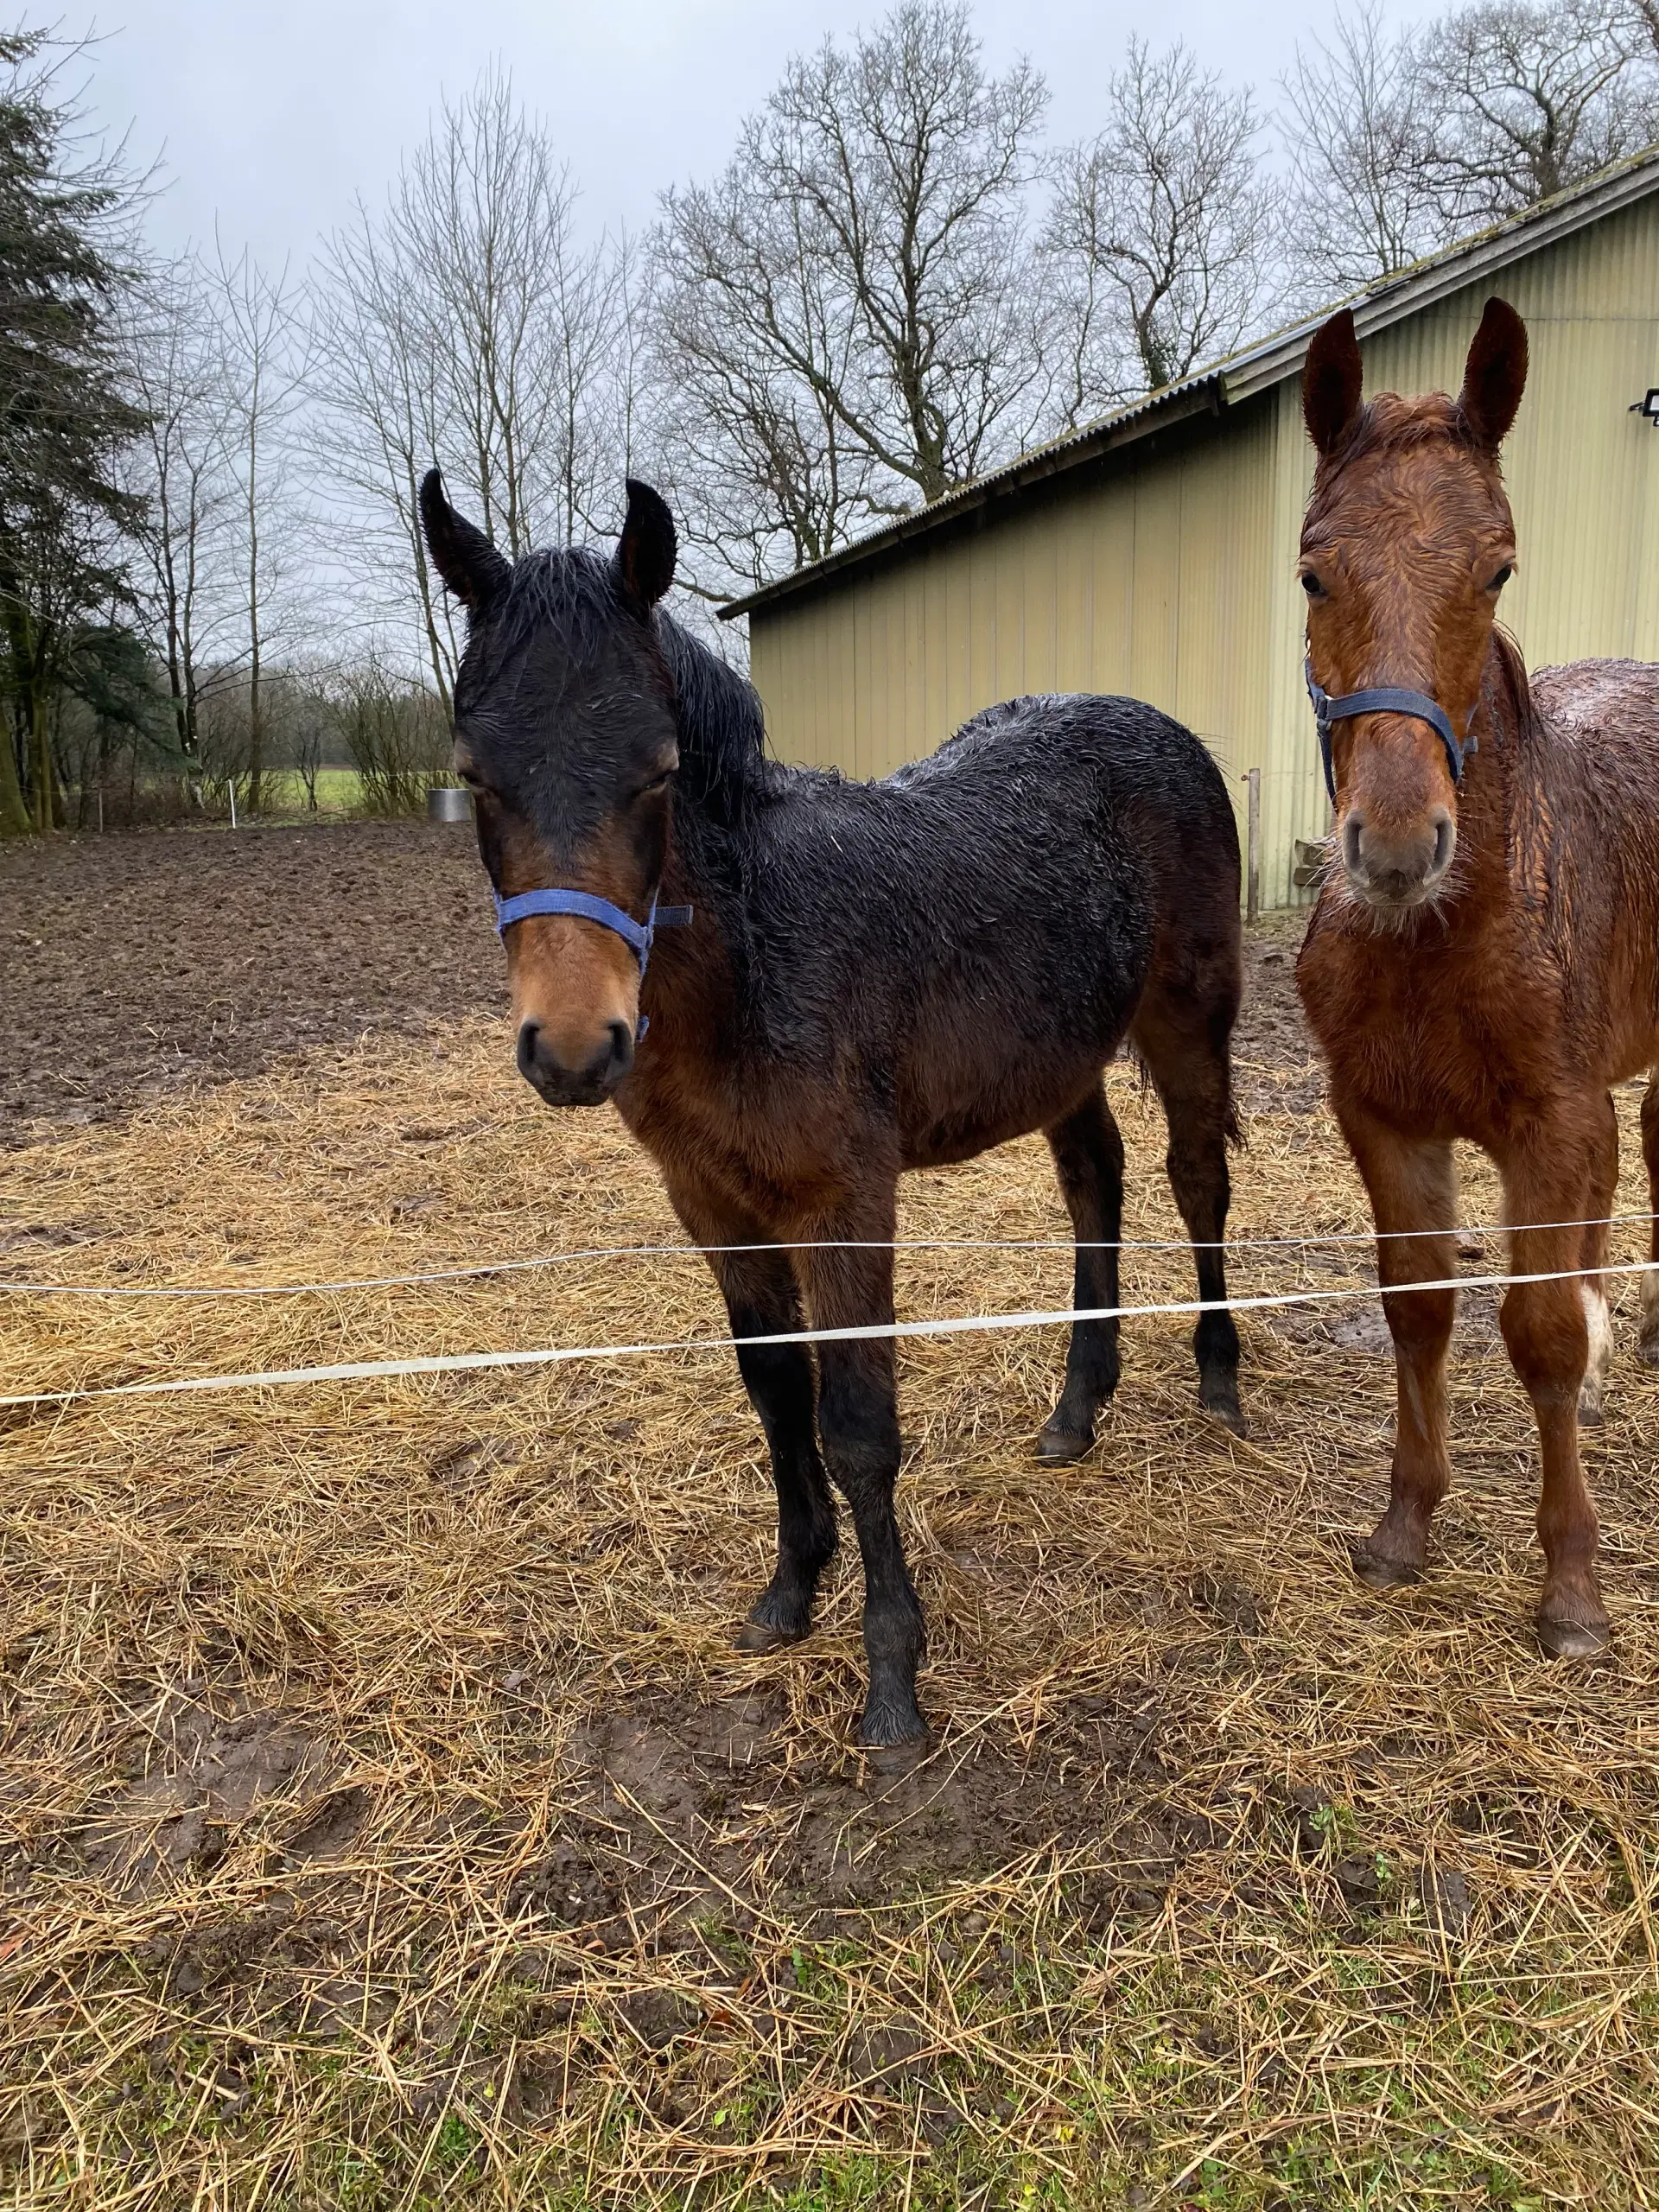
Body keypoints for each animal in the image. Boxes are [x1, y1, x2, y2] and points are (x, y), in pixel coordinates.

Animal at [424, 471, 1247, 1743]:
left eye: (658, 769)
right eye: (475, 775)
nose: (571, 1048)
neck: (757, 957)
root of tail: (1159, 727)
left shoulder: (843, 1202)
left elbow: (858, 1427)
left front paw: (893, 1675)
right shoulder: (714, 1203)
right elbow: (776, 1397)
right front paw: (788, 1593)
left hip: (1187, 1018)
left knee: (1197, 1176)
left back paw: (1218, 1379)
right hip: (1059, 1056)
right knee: (1093, 1182)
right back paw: (1076, 1410)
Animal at [1300, 294, 1659, 1654]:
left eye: (1497, 566)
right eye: (1313, 568)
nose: (1398, 848)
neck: (1441, 941)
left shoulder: (1554, 1124)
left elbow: (1539, 1331)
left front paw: (1572, 1592)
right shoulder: (1386, 1119)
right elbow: (1421, 1307)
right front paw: (1405, 1524)